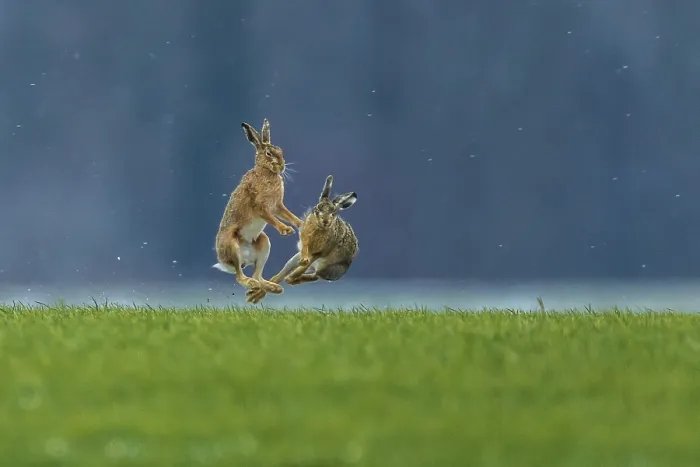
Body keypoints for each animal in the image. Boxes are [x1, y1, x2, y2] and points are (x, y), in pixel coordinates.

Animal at [212, 118, 303, 294]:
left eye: (280, 151)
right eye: (269, 154)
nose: (282, 166)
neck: (267, 172)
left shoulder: (277, 206)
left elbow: (289, 215)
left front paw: (301, 224)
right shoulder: (260, 207)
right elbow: (272, 218)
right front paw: (286, 230)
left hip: (264, 243)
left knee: (257, 274)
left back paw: (272, 287)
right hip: (231, 244)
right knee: (240, 276)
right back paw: (252, 284)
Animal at [246, 174, 358, 303]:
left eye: (334, 213)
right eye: (316, 210)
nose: (325, 221)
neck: (320, 228)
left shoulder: (323, 250)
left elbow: (312, 258)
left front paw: (299, 269)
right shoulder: (305, 238)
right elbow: (305, 247)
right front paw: (304, 260)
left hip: (330, 269)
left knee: (315, 275)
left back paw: (291, 278)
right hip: (296, 260)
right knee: (285, 271)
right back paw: (260, 291)